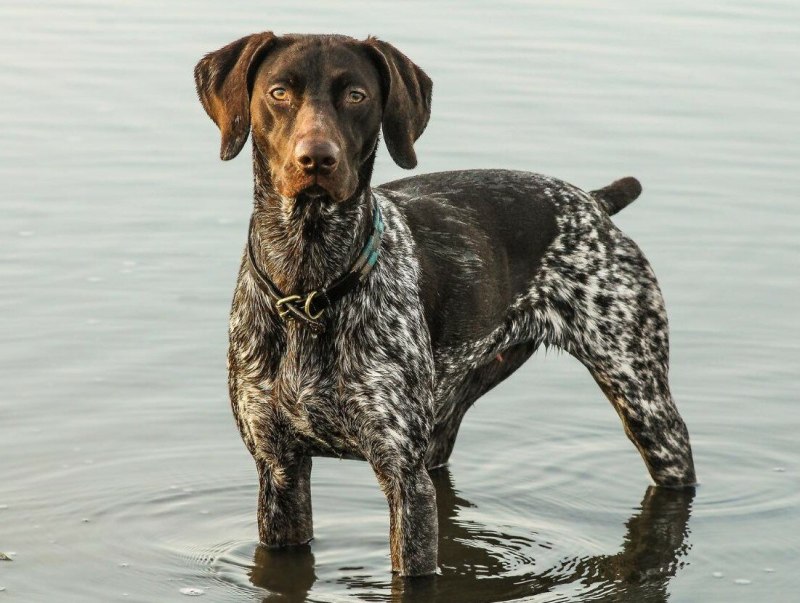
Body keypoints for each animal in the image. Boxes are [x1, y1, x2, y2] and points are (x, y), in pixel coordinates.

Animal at [194, 32, 696, 577]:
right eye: (279, 92)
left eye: (357, 96)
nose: (317, 159)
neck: (309, 285)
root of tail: (592, 200)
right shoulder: (279, 470)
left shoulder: (403, 478)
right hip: (445, 418)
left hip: (645, 405)